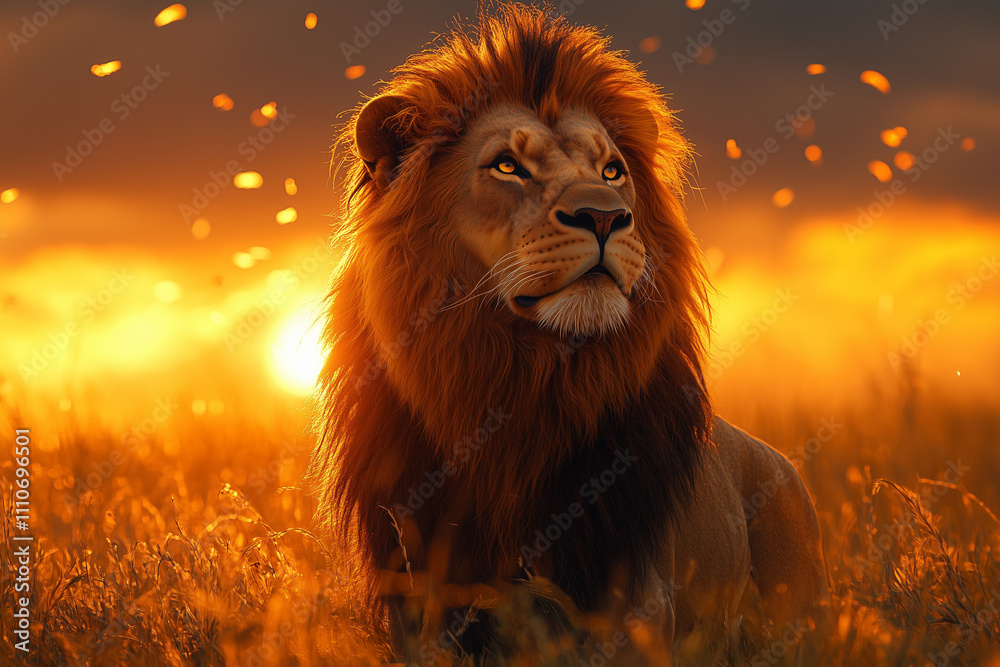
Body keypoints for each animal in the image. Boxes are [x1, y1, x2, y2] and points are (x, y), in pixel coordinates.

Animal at [310, 5, 829, 665]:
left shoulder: (635, 608)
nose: (605, 215)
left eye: (613, 171)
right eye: (507, 165)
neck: (527, 383)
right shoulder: (423, 603)